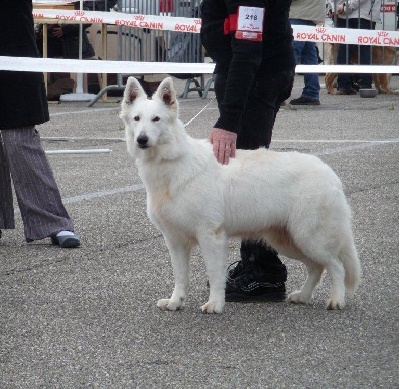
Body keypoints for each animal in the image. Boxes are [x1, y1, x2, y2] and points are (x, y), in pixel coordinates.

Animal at [120, 77, 360, 314]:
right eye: (137, 118)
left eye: (156, 119)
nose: (142, 139)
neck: (172, 163)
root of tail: (328, 172)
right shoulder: (175, 241)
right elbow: (180, 277)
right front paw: (175, 302)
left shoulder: (211, 236)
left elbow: (215, 275)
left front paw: (215, 304)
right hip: (288, 241)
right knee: (316, 267)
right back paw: (303, 296)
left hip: (309, 238)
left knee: (336, 266)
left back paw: (336, 300)